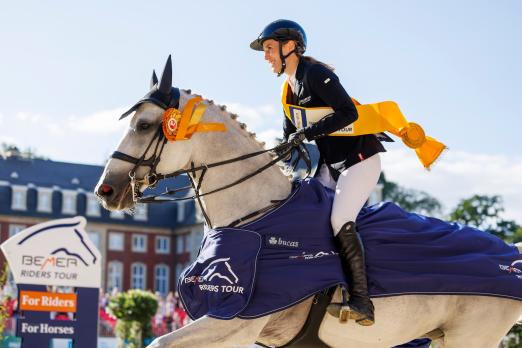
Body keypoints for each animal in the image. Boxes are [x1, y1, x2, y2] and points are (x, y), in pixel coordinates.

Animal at [94, 58, 520, 346]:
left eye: (145, 125)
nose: (105, 191)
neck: (255, 214)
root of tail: (512, 256)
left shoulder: (235, 321)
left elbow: (158, 341)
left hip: (470, 337)